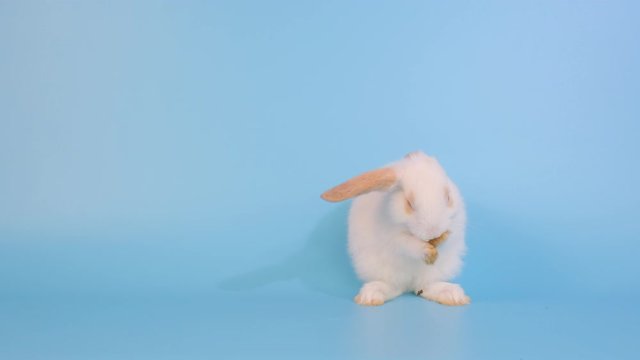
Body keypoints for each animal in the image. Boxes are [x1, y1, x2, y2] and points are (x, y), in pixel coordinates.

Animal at [322, 151, 468, 306]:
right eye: (409, 203)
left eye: (448, 197)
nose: (433, 232)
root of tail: (409, 285)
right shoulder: (393, 236)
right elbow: (407, 244)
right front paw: (428, 251)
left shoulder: (455, 226)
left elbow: (449, 238)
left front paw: (440, 240)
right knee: (394, 287)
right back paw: (371, 296)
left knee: (424, 287)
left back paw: (452, 295)